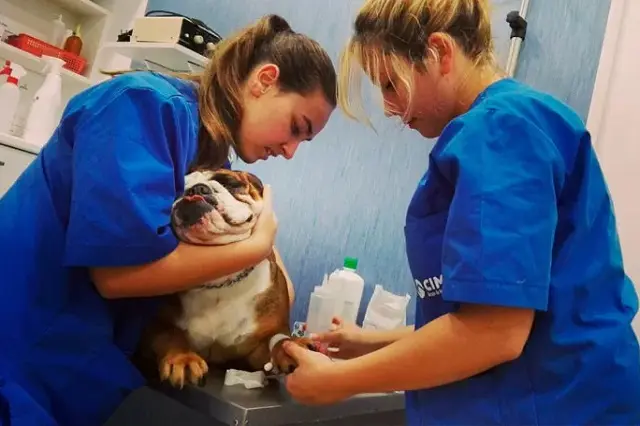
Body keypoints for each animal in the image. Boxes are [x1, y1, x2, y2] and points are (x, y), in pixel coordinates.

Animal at [135, 169, 314, 388]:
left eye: (229, 182)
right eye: (177, 189)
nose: (195, 189)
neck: (220, 282)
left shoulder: (256, 349)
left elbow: (278, 340)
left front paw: (293, 345)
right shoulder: (154, 325)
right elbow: (171, 335)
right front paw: (183, 359)